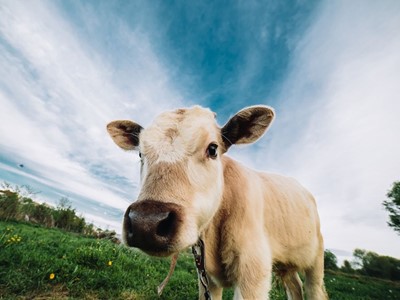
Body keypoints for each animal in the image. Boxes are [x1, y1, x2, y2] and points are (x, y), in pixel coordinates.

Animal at [107, 104, 328, 298]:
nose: (146, 223)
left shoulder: (253, 273)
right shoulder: (206, 277)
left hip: (316, 258)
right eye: (140, 153)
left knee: (314, 289)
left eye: (213, 149)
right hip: (287, 264)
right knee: (295, 286)